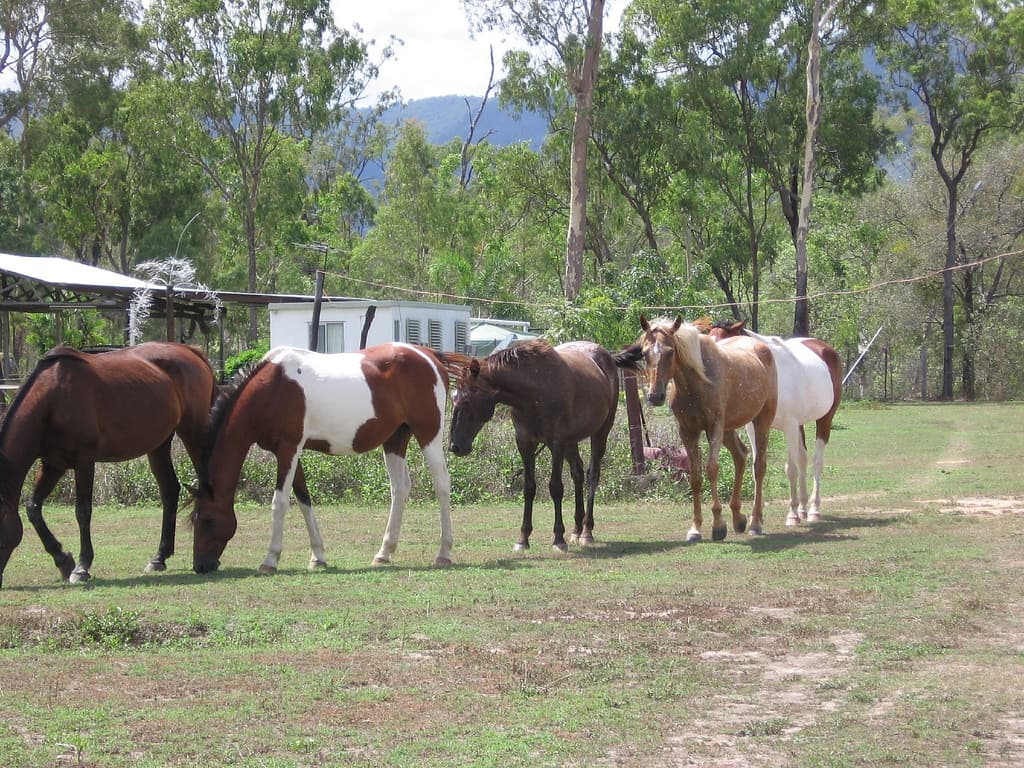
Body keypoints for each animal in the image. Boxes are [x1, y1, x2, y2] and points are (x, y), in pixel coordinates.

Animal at [0, 342, 217, 587]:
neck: (53, 399)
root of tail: (190, 351)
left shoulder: (84, 462)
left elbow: (82, 511)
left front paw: (81, 567)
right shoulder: (52, 465)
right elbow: (33, 509)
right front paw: (63, 560)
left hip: (193, 432)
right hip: (159, 444)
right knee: (170, 491)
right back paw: (159, 558)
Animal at [190, 343, 453, 574]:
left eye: (208, 520)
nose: (200, 566)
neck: (271, 388)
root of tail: (429, 355)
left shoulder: (288, 448)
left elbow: (280, 502)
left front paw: (270, 559)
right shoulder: (288, 451)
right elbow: (303, 498)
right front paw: (318, 557)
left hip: (428, 434)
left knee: (441, 483)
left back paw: (444, 553)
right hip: (395, 440)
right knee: (400, 488)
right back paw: (384, 553)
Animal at [439, 340, 632, 553]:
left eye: (466, 401)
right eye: (454, 399)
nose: (455, 446)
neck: (534, 393)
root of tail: (607, 357)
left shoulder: (556, 443)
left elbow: (555, 488)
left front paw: (558, 539)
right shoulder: (525, 443)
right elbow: (529, 488)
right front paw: (523, 538)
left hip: (599, 433)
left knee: (592, 476)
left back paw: (586, 532)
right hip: (571, 441)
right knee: (578, 474)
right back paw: (576, 530)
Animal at [619, 316, 777, 542]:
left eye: (670, 351)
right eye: (644, 352)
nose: (655, 396)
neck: (696, 384)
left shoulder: (713, 428)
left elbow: (711, 469)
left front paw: (718, 525)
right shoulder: (688, 431)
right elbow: (694, 476)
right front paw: (695, 528)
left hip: (760, 421)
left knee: (758, 467)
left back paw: (755, 523)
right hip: (728, 429)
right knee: (740, 456)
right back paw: (738, 518)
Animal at [708, 320, 842, 524]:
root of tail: (824, 348)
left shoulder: (789, 426)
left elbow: (790, 469)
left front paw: (792, 514)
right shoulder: (754, 428)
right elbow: (758, 466)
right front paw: (758, 513)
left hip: (824, 419)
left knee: (816, 462)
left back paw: (813, 510)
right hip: (800, 425)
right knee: (803, 459)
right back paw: (803, 508)